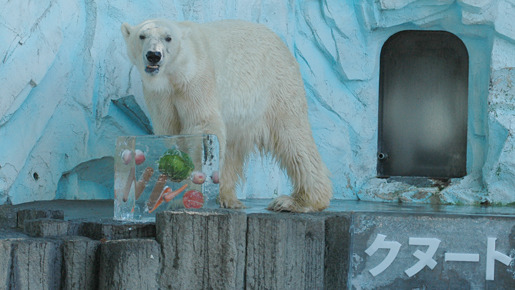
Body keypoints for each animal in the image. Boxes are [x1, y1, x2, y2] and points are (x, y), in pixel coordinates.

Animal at [120, 19, 332, 212]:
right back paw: (228, 198)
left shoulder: (198, 81)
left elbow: (203, 126)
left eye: (168, 38)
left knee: (293, 138)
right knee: (231, 147)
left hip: (277, 87)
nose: (153, 55)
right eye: (142, 36)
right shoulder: (160, 96)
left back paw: (296, 202)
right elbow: (173, 132)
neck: (174, 75)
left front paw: (191, 192)